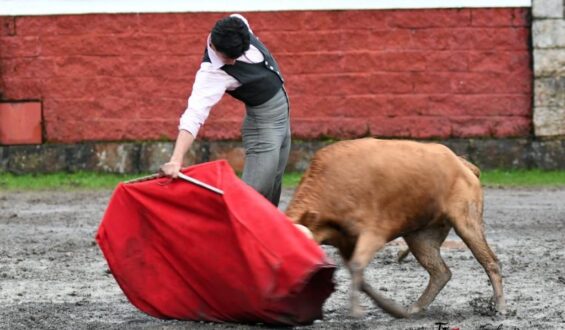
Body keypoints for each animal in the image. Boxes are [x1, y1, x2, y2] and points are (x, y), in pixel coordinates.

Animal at [284, 139, 504, 320]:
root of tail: (462, 163)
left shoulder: (374, 232)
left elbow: (357, 266)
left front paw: (358, 310)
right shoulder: (344, 242)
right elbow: (357, 273)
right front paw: (390, 309)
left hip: (467, 221)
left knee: (489, 261)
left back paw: (500, 306)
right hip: (420, 236)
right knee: (440, 272)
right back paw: (414, 308)